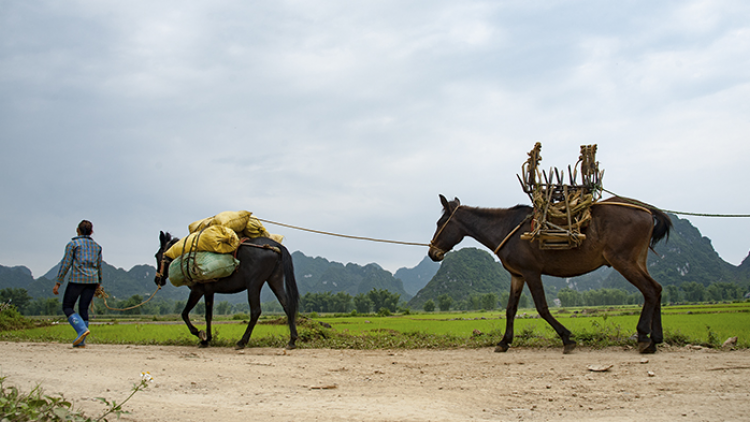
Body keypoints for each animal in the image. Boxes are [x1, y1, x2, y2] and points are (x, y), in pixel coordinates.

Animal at [156, 232, 300, 348]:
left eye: (157, 256)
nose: (157, 280)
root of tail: (275, 245)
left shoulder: (197, 290)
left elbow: (184, 314)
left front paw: (200, 334)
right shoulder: (209, 291)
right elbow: (208, 315)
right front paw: (207, 339)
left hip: (254, 284)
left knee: (256, 311)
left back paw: (242, 341)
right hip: (275, 280)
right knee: (287, 305)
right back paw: (292, 340)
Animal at [428, 195, 676, 352]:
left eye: (440, 223)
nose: (432, 253)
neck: (506, 229)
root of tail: (645, 210)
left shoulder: (531, 272)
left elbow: (542, 308)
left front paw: (567, 338)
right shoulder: (517, 276)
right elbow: (510, 310)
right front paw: (504, 342)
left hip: (622, 261)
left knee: (650, 290)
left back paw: (643, 337)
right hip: (637, 261)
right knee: (657, 289)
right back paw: (655, 339)